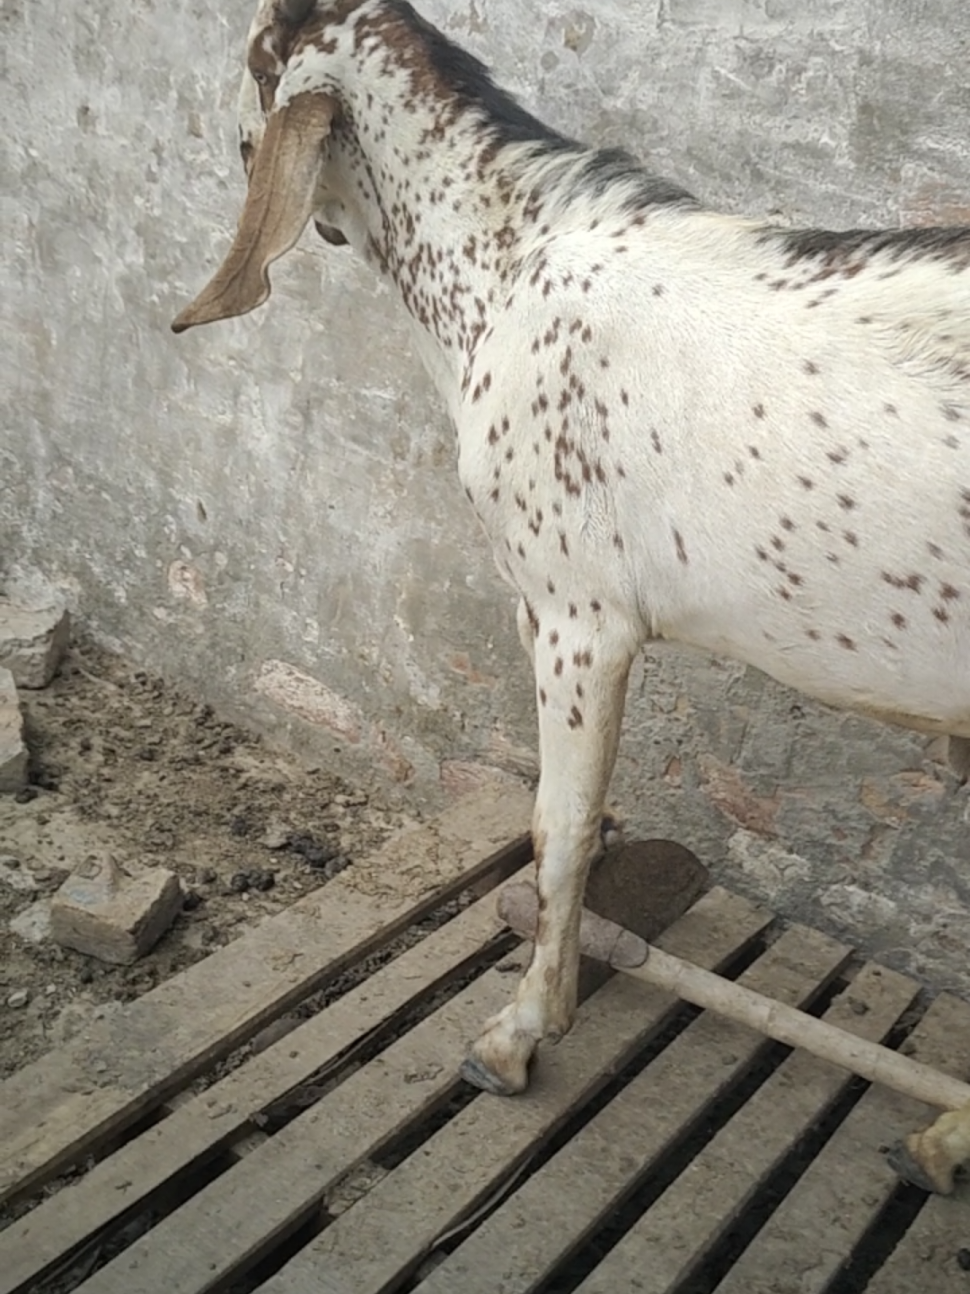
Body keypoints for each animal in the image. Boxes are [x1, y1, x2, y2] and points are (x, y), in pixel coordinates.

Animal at [173, 0, 970, 1104]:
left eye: (258, 69)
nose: (236, 147)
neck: (502, 274)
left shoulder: (575, 615)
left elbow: (561, 827)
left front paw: (519, 1032)